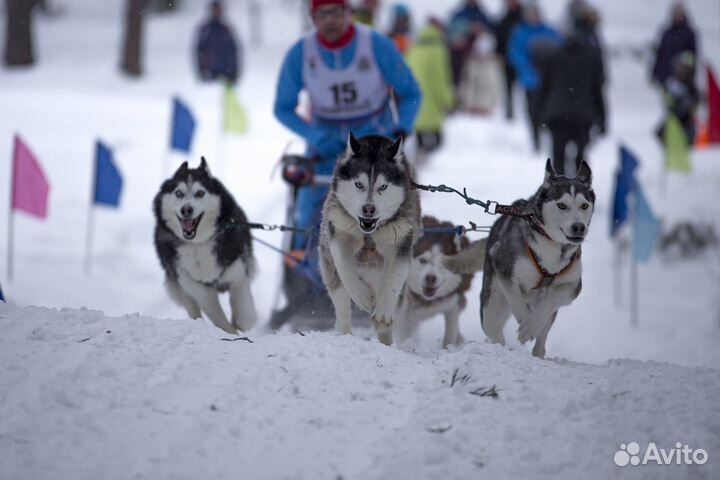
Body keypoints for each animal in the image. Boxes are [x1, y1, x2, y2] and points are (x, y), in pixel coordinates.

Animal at [153, 158, 258, 334]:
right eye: (178, 193)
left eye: (200, 193)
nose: (186, 209)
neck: (199, 243)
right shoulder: (191, 282)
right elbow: (215, 312)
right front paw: (229, 331)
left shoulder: (236, 267)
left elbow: (242, 303)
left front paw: (241, 322)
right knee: (193, 309)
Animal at [320, 134, 422, 344]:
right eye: (359, 184)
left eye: (383, 186)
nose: (369, 209)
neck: (369, 234)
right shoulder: (339, 231)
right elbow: (344, 264)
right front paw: (361, 296)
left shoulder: (401, 242)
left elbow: (393, 280)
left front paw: (382, 314)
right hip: (330, 270)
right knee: (341, 303)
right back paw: (345, 333)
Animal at [396, 218, 486, 348]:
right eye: (423, 260)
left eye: (444, 263)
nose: (430, 278)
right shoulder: (402, 309)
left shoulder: (453, 304)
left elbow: (450, 333)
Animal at [450, 160, 596, 356]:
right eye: (562, 205)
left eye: (584, 205)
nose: (579, 227)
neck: (551, 244)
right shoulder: (504, 269)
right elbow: (517, 301)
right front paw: (525, 323)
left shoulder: (571, 286)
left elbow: (549, 301)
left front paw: (531, 326)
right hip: (492, 307)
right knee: (494, 331)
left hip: (548, 314)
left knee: (542, 336)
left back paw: (537, 349)